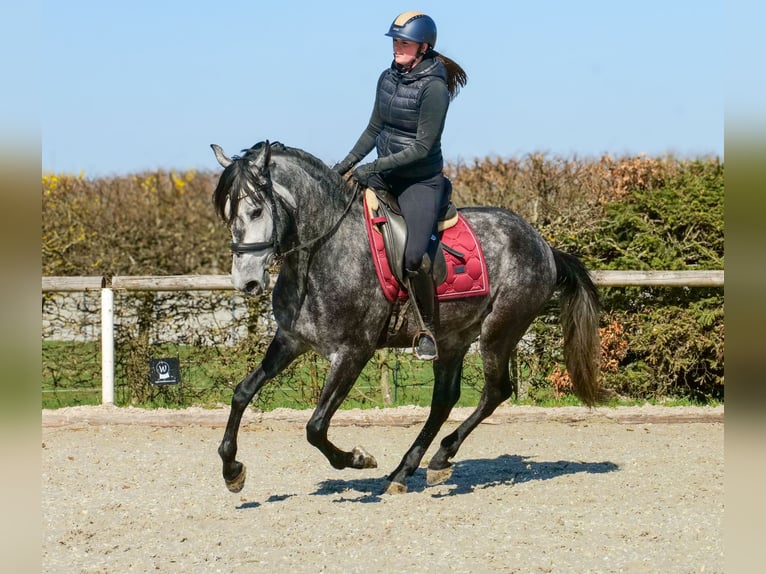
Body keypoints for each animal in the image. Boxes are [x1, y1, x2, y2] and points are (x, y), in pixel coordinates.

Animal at [211, 140, 605, 495]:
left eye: (257, 211)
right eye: (228, 214)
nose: (245, 281)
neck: (324, 253)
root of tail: (544, 246)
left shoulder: (354, 352)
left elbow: (316, 426)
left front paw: (358, 458)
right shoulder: (291, 339)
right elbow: (242, 393)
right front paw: (232, 470)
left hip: (499, 331)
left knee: (495, 391)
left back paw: (438, 458)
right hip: (452, 339)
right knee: (444, 400)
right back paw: (408, 469)